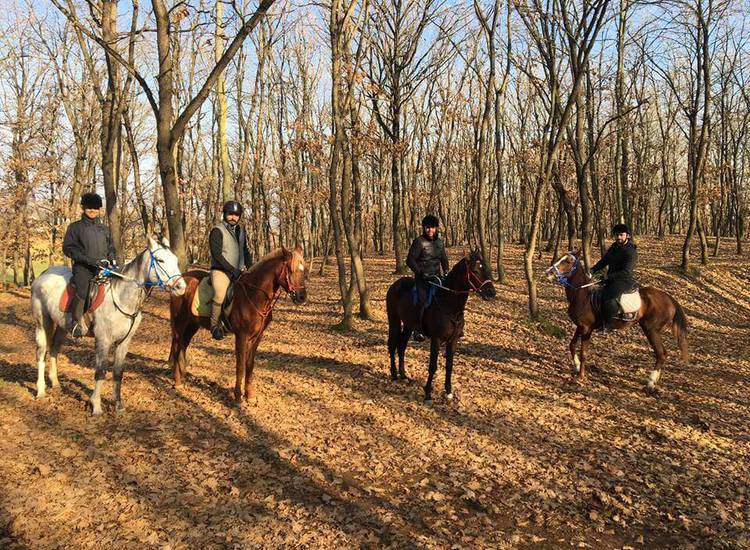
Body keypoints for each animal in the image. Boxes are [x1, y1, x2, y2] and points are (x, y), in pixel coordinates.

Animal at [30, 235, 187, 416]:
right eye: (160, 260)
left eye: (174, 259)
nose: (181, 287)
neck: (121, 298)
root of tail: (43, 275)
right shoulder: (103, 340)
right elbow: (100, 372)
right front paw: (96, 406)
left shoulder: (124, 342)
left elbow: (118, 373)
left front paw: (118, 405)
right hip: (42, 323)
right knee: (41, 353)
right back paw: (41, 391)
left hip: (63, 327)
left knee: (54, 350)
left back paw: (55, 383)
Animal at [170, 248, 308, 408]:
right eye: (291, 270)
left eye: (304, 270)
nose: (302, 297)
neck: (255, 295)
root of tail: (180, 280)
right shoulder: (242, 336)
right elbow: (240, 365)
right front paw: (237, 398)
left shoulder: (257, 337)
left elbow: (249, 364)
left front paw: (250, 395)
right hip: (180, 323)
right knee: (177, 348)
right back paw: (177, 382)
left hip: (192, 325)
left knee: (183, 347)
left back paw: (182, 377)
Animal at [388, 252, 500, 404]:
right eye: (475, 271)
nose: (491, 292)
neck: (448, 304)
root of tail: (395, 285)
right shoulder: (436, 339)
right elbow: (433, 366)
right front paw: (428, 393)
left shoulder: (453, 340)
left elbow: (449, 365)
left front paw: (448, 392)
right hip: (393, 319)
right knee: (393, 344)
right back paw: (394, 374)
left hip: (408, 325)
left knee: (401, 346)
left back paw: (404, 375)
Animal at [548, 252, 692, 390]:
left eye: (568, 261)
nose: (549, 272)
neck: (583, 296)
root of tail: (670, 299)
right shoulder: (580, 326)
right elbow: (572, 345)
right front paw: (577, 366)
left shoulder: (586, 329)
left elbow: (584, 353)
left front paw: (581, 376)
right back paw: (654, 380)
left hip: (651, 330)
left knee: (661, 354)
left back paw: (650, 383)